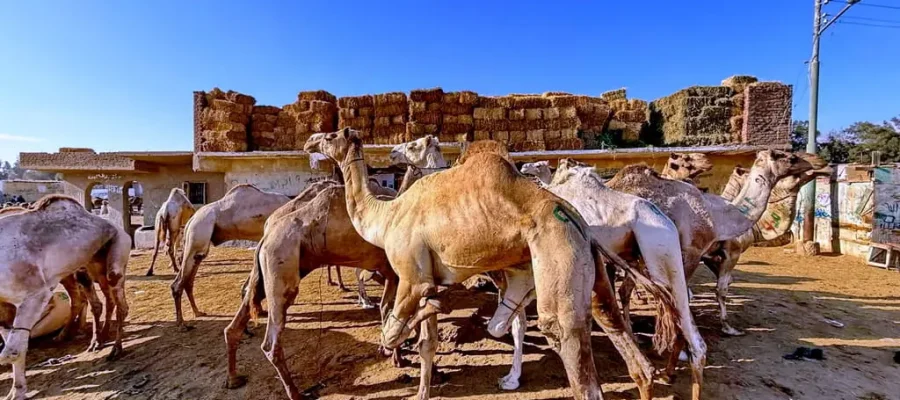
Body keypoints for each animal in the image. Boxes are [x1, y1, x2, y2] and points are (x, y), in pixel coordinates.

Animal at [0, 195, 131, 400]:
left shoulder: (36, 294)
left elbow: (11, 351)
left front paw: (18, 392)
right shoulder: (4, 307)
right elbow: (14, 347)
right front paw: (16, 391)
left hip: (118, 250)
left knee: (118, 302)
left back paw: (114, 349)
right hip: (92, 264)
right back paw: (97, 341)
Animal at [171, 184, 290, 327]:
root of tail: (191, 220)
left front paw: (260, 310)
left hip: (197, 246)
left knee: (188, 281)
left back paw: (197, 312)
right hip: (199, 232)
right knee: (179, 283)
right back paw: (182, 323)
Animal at [305, 129, 673, 400]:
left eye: (331, 135)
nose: (309, 141)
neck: (386, 215)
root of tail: (577, 220)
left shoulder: (412, 275)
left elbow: (392, 332)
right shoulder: (425, 277)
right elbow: (426, 341)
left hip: (557, 253)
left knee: (566, 343)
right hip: (589, 267)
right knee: (614, 325)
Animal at [510, 158, 708, 398]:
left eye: (538, 165)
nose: (523, 166)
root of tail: (667, 222)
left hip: (658, 252)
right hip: (668, 263)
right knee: (695, 341)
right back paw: (670, 373)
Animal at [702, 164, 832, 335]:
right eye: (792, 173)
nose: (826, 168)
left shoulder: (712, 257)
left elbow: (726, 282)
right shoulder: (731, 253)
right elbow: (721, 290)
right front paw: (728, 327)